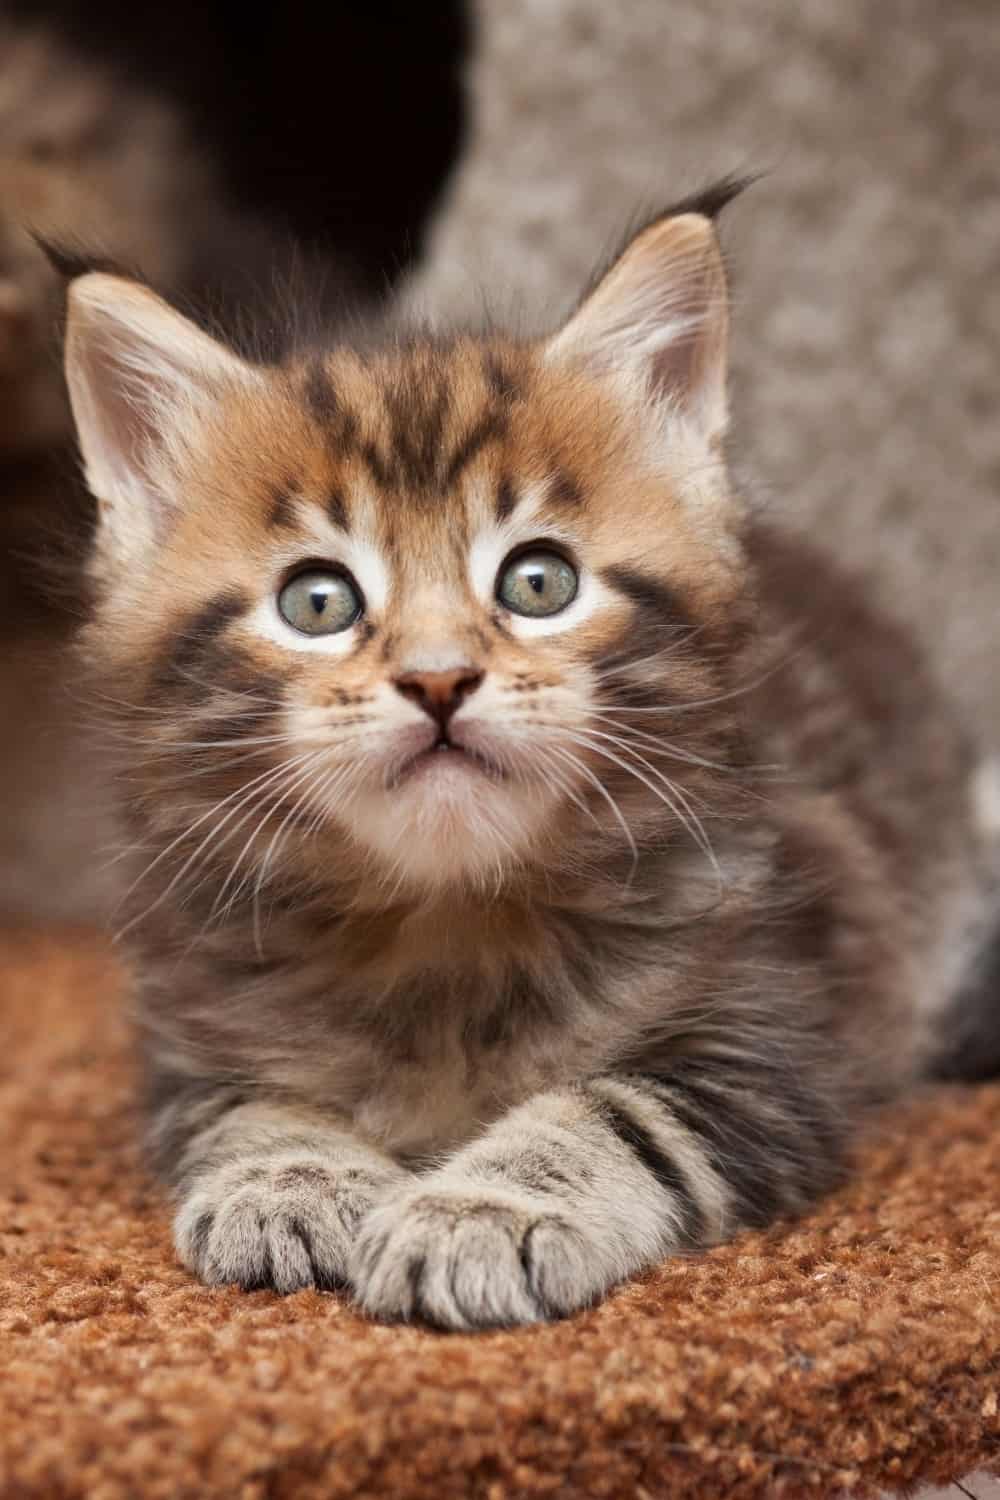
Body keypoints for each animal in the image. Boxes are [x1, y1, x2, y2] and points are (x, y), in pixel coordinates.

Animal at [58, 181, 989, 1332]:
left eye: (538, 583)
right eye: (316, 602)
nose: (439, 680)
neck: (446, 921)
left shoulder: (774, 1034)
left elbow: (613, 1111)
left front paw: (480, 1211)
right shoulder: (191, 1032)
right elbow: (251, 1101)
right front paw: (290, 1176)